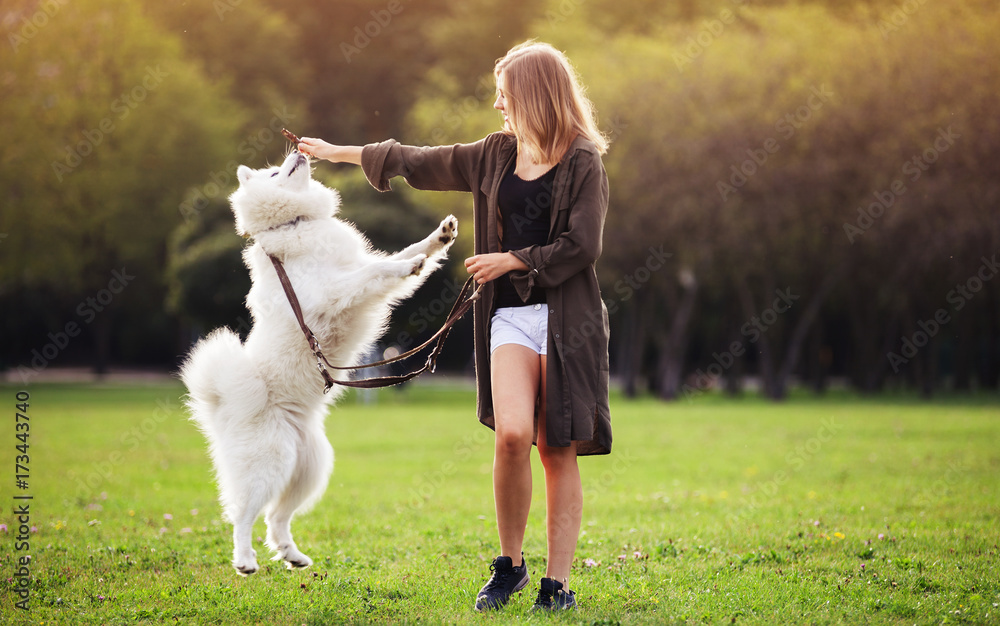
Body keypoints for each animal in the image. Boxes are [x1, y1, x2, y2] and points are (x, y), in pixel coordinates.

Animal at [181, 149, 458, 572]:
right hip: (269, 465)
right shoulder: (334, 288)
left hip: (309, 469)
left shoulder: (353, 270)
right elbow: (380, 268)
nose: (298, 150)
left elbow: (411, 250)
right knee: (243, 515)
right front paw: (402, 267)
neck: (300, 222)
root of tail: (225, 405)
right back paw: (244, 560)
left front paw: (439, 237)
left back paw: (292, 555)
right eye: (274, 173)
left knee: (275, 517)